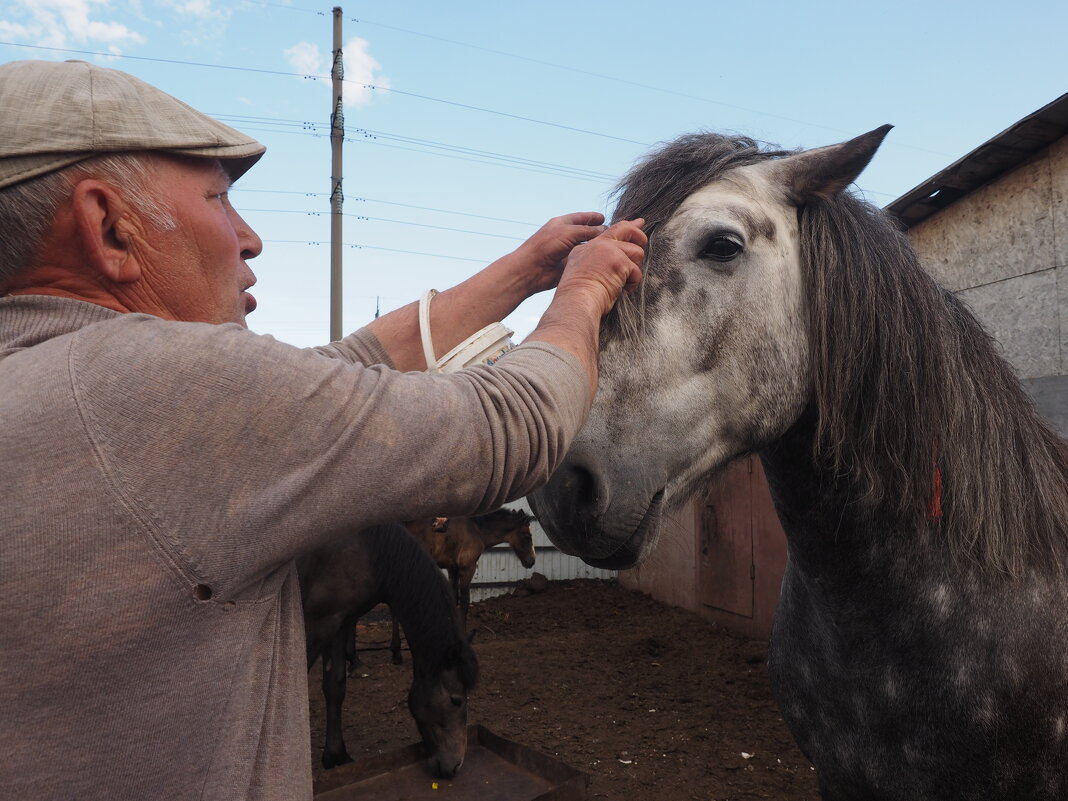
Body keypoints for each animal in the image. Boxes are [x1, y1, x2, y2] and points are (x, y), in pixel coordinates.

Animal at [296, 523, 480, 781]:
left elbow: (335, 687)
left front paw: (336, 755)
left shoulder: (339, 622)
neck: (365, 551)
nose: (455, 765)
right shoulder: (317, 623)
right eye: (456, 700)